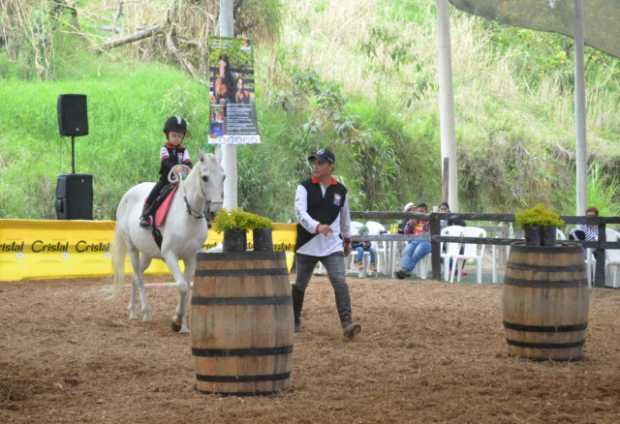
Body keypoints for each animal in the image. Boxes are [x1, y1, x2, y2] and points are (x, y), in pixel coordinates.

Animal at [111, 151, 225, 332]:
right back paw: (145, 313)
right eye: (205, 177)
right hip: (132, 249)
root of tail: (127, 195)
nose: (215, 212)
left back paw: (132, 312)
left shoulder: (191, 258)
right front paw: (178, 322)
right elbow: (182, 286)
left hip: (147, 255)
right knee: (139, 277)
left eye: (224, 177)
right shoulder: (170, 255)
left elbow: (188, 286)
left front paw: (181, 323)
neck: (187, 216)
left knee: (136, 277)